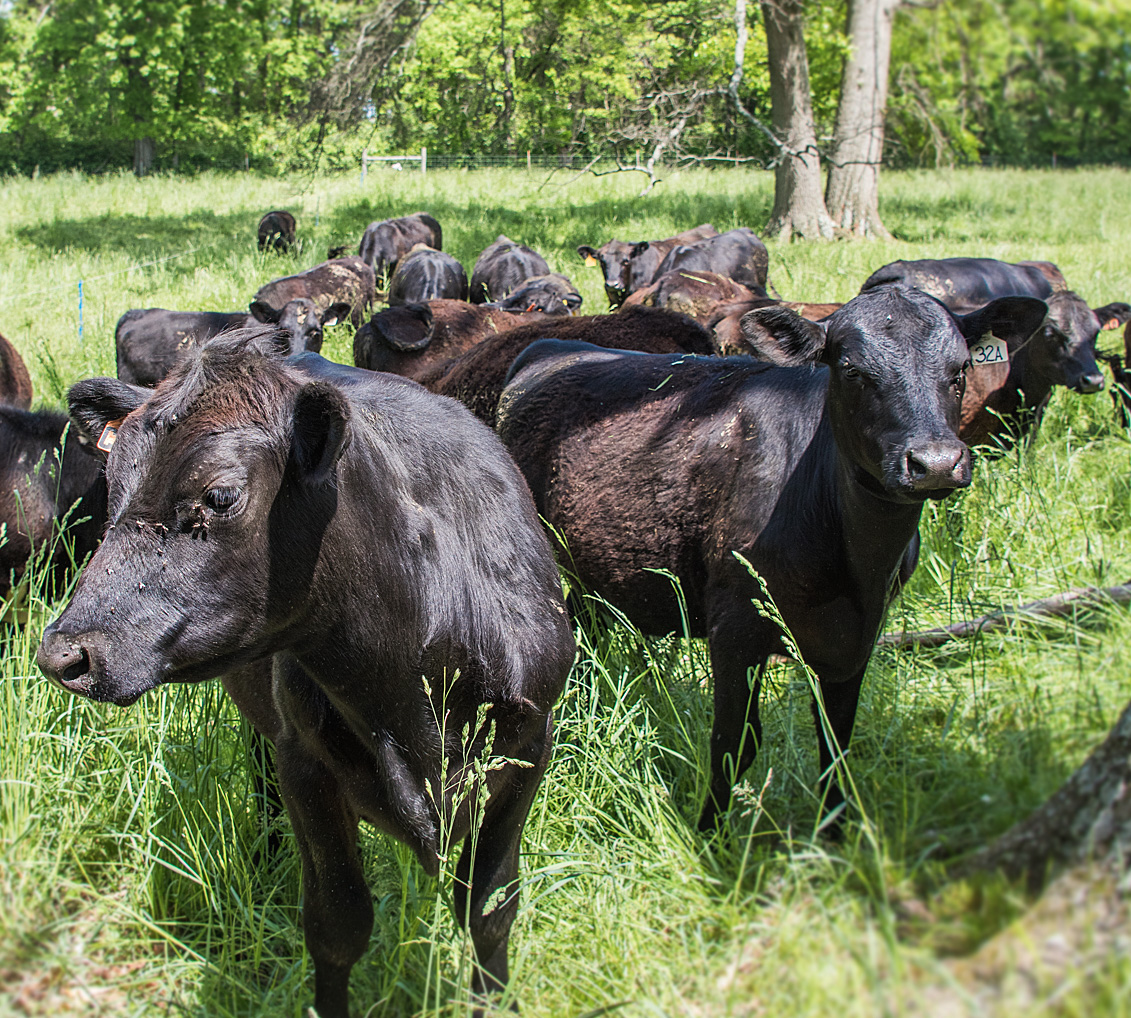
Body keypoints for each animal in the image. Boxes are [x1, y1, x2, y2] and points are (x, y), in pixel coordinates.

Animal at [37, 332, 574, 1018]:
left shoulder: (528, 750)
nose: (64, 654)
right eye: (112, 485)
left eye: (220, 496)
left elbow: (490, 909)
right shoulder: (305, 765)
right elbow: (337, 924)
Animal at [499, 286, 1045, 837]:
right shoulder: (736, 626)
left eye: (960, 369)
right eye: (851, 370)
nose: (934, 463)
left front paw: (833, 834)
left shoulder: (859, 640)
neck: (856, 569)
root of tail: (549, 347)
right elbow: (733, 743)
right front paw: (712, 837)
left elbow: (836, 741)